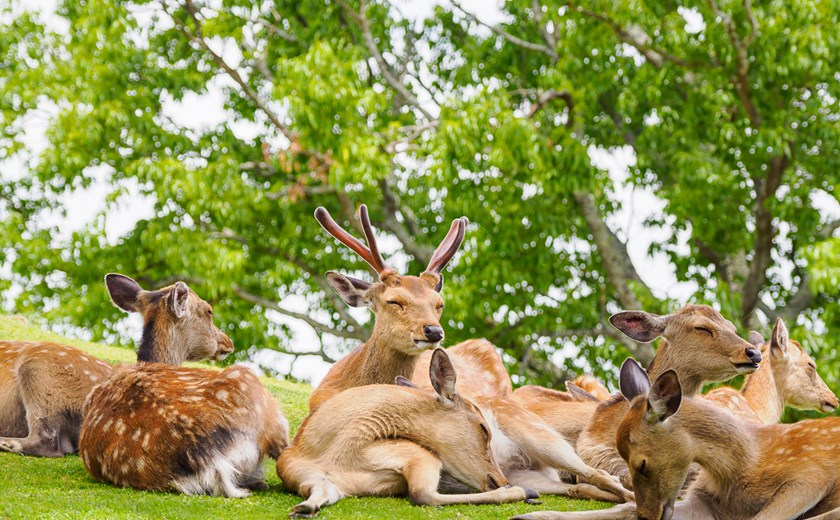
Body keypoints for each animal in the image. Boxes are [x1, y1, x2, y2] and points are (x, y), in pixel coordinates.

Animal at [277, 348, 537, 518]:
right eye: (484, 428)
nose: (502, 480)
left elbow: (422, 494)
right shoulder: (305, 477)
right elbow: (423, 495)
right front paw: (304, 508)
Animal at [311, 204, 633, 502]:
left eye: (438, 303)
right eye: (394, 301)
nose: (433, 331)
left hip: (538, 433)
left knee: (599, 474)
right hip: (535, 470)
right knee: (584, 484)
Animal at [512, 358, 840, 520]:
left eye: (642, 463)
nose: (648, 516)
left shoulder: (810, 474)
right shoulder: (702, 502)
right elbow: (622, 508)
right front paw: (532, 516)